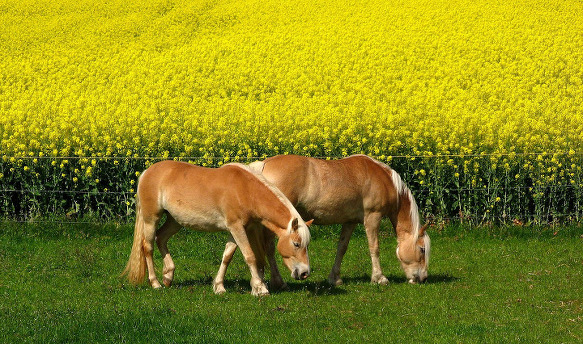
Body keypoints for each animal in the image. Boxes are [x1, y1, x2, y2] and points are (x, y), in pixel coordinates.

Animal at [123, 161, 312, 296]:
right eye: (296, 244)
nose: (305, 273)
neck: (246, 190)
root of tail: (146, 172)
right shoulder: (236, 227)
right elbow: (250, 256)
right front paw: (260, 288)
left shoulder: (236, 230)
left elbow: (227, 256)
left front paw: (219, 287)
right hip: (151, 219)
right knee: (147, 247)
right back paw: (155, 283)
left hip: (174, 221)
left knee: (161, 238)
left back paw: (168, 276)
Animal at [214, 155, 428, 288]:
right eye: (422, 249)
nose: (422, 278)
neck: (383, 179)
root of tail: (263, 165)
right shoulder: (372, 218)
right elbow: (374, 248)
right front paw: (379, 278)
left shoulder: (350, 221)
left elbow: (342, 248)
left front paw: (335, 278)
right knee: (268, 248)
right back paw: (277, 282)